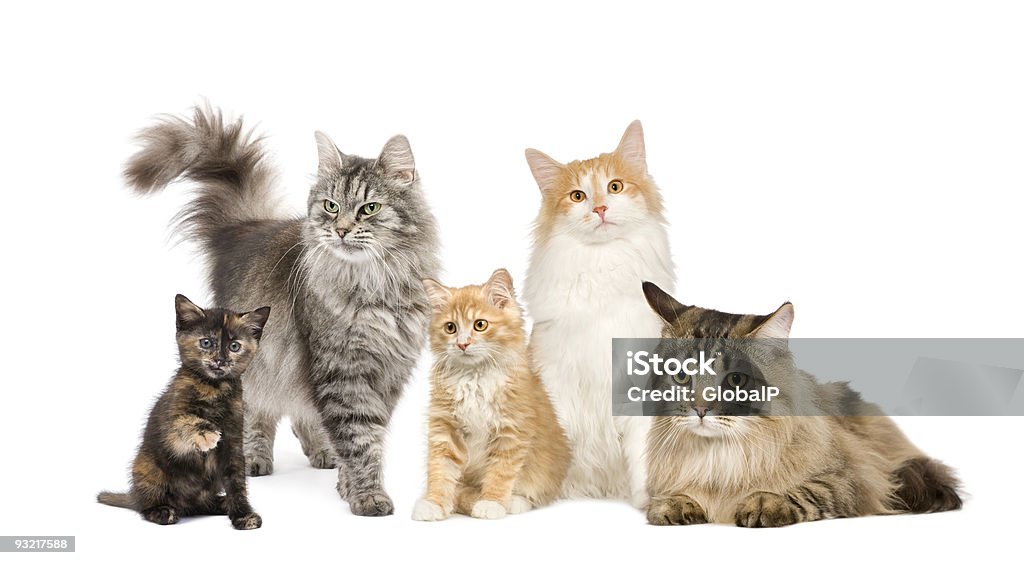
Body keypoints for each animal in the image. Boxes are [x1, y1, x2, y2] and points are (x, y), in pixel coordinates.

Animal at [96, 294, 270, 528]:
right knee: (146, 504)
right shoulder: (171, 425)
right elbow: (185, 420)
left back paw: (220, 503)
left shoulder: (234, 444)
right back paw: (162, 511)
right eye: (206, 342)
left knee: (202, 503)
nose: (220, 360)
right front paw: (207, 433)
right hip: (147, 466)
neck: (214, 388)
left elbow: (237, 483)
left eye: (234, 346)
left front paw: (243, 514)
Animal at [121, 105, 438, 515]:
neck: (373, 285)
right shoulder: (340, 370)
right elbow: (358, 439)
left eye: (370, 209)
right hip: (260, 356)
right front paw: (367, 496)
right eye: (331, 206)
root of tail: (245, 228)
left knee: (303, 414)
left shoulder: (388, 373)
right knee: (259, 411)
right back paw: (256, 459)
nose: (340, 230)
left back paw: (321, 452)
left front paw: (347, 485)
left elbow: (366, 435)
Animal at [409, 270, 569, 519]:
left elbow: (500, 472)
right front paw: (433, 503)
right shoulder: (445, 428)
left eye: (480, 325)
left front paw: (491, 503)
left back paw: (514, 501)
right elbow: (440, 470)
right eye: (450, 328)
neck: (474, 378)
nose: (463, 344)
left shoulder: (511, 430)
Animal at [524, 120, 675, 507]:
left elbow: (642, 453)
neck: (602, 266)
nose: (601, 209)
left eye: (615, 186)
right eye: (577, 196)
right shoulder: (556, 380)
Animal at [638, 282, 958, 524]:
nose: (701, 410)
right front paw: (674, 504)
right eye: (681, 376)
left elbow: (805, 491)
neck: (720, 456)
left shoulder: (855, 477)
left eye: (736, 380)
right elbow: (675, 495)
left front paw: (763, 503)